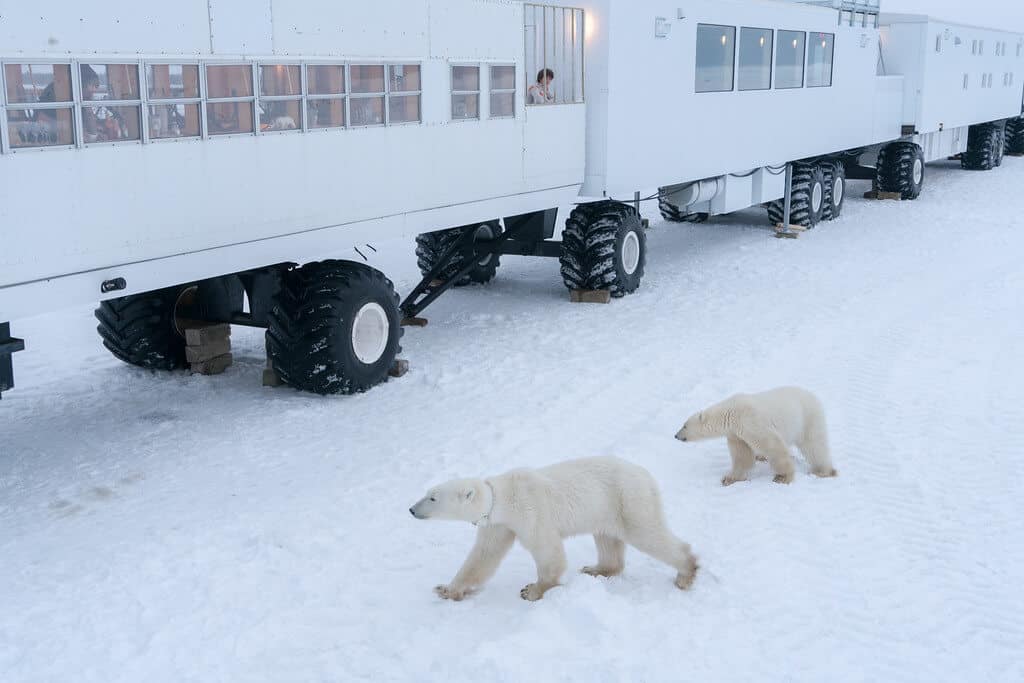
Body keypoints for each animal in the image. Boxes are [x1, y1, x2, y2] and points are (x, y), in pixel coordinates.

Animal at [407, 456, 696, 602]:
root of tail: (647, 475)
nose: (411, 509)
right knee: (607, 539)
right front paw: (447, 589)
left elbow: (547, 549)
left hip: (627, 498)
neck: (501, 497)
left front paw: (532, 590)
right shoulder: (498, 524)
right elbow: (483, 556)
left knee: (647, 533)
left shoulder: (529, 510)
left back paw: (686, 572)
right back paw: (596, 568)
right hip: (606, 509)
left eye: (432, 497)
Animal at [675, 387, 835, 489]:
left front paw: (782, 477)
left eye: (684, 425)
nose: (676, 435)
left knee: (814, 445)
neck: (731, 412)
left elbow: (772, 445)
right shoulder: (736, 434)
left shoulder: (751, 421)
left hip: (808, 417)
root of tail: (812, 396)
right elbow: (742, 456)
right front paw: (729, 479)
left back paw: (822, 471)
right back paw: (761, 456)